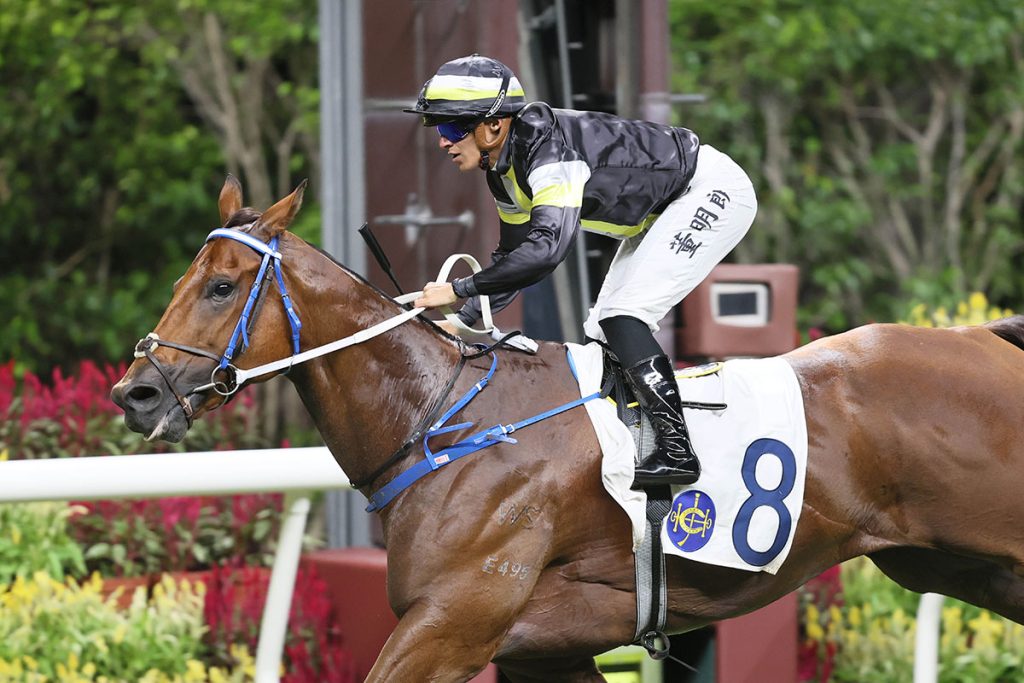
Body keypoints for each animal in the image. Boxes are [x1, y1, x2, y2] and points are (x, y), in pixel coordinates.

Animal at [116, 178, 1024, 683]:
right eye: (187, 278)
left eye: (221, 286)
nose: (138, 392)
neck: (444, 418)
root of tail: (986, 338)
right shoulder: (539, 649)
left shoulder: (450, 627)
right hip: (953, 563)